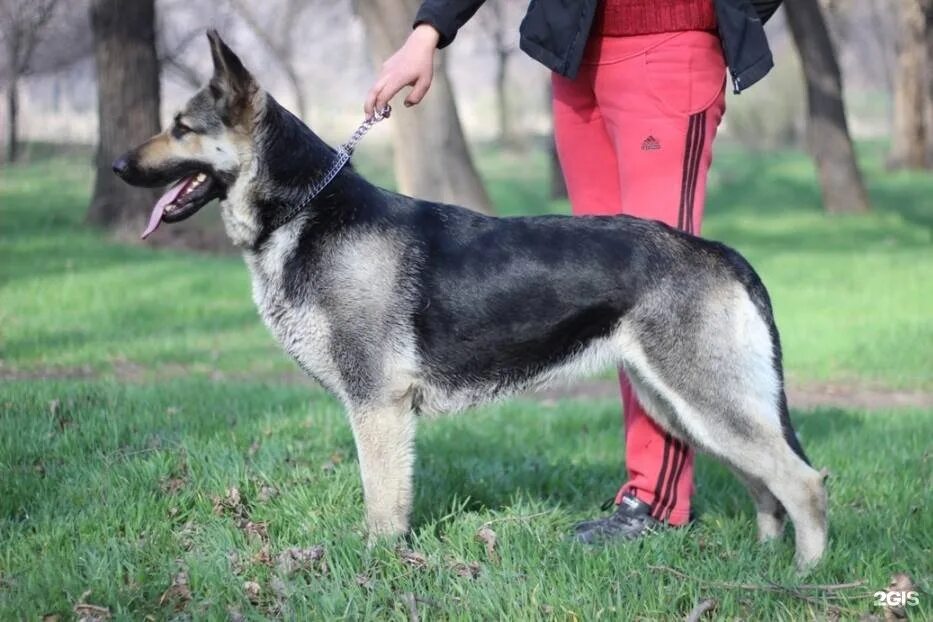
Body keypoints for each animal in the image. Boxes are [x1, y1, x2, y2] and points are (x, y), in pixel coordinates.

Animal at [113, 33, 828, 572]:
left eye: (181, 128)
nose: (118, 166)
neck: (305, 206)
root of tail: (720, 250)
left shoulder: (377, 407)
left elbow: (382, 502)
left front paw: (379, 567)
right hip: (683, 408)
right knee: (766, 487)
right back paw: (763, 564)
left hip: (708, 404)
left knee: (804, 484)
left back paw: (801, 577)